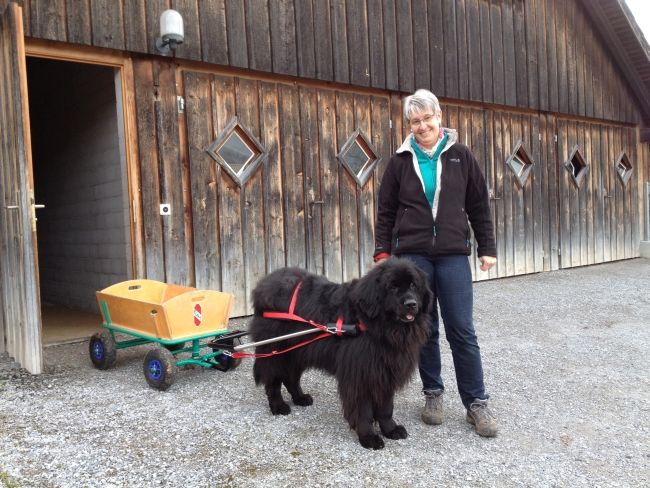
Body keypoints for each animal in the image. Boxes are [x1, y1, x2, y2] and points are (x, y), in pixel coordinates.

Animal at [248, 260, 430, 450]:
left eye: (413, 285)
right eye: (392, 287)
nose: (411, 304)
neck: (376, 326)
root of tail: (264, 285)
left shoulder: (385, 373)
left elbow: (386, 408)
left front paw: (391, 429)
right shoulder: (360, 375)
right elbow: (363, 410)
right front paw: (368, 437)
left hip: (297, 351)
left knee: (291, 378)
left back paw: (300, 398)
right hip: (275, 351)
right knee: (273, 381)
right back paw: (279, 406)